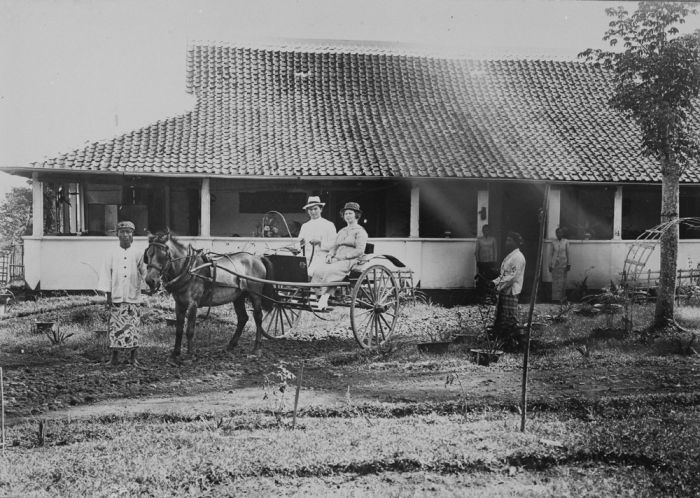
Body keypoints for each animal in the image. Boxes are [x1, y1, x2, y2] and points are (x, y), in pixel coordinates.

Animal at [144, 230, 278, 362]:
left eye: (162, 256)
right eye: (148, 255)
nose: (150, 281)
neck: (189, 269)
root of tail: (257, 258)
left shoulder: (193, 304)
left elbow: (189, 330)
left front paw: (190, 354)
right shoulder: (179, 304)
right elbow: (179, 329)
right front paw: (175, 353)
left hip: (255, 294)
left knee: (258, 317)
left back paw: (257, 347)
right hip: (238, 297)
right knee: (243, 318)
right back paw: (231, 344)